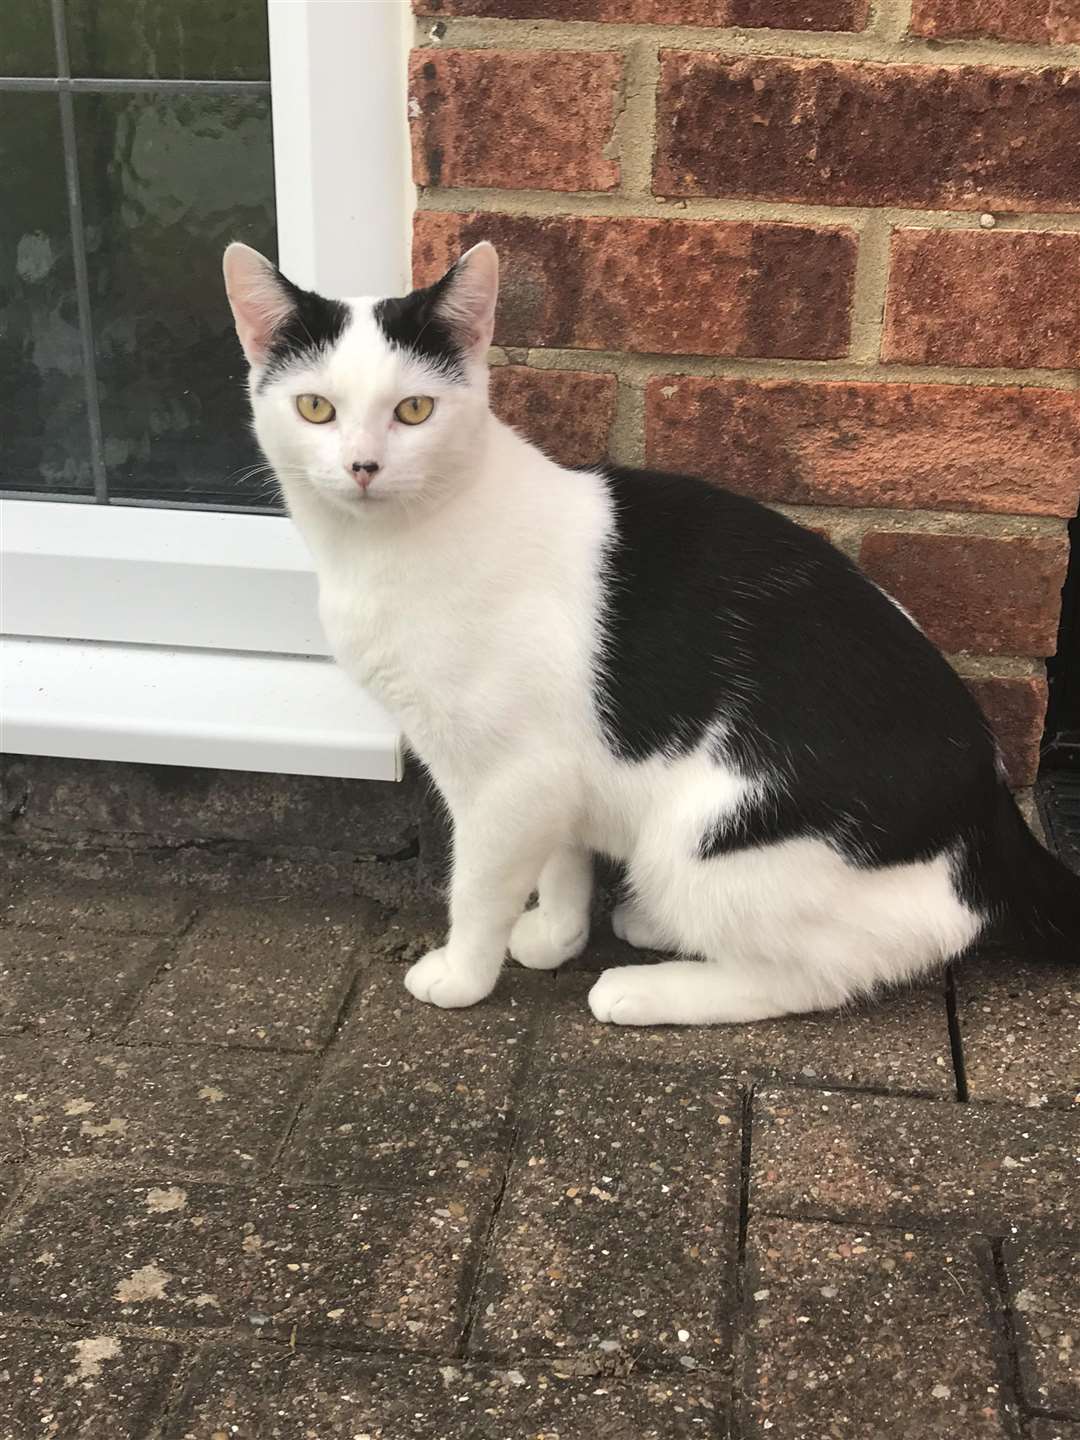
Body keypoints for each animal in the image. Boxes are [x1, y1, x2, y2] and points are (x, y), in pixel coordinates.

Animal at [221, 239, 1080, 1025]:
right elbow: (561, 862)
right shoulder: (556, 768)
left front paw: (464, 973)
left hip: (702, 834)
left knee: (816, 976)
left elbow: (478, 886)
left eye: (414, 410)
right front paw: (556, 935)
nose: (362, 466)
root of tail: (992, 821)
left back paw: (645, 988)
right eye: (315, 408)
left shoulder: (507, 780)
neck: (390, 547)